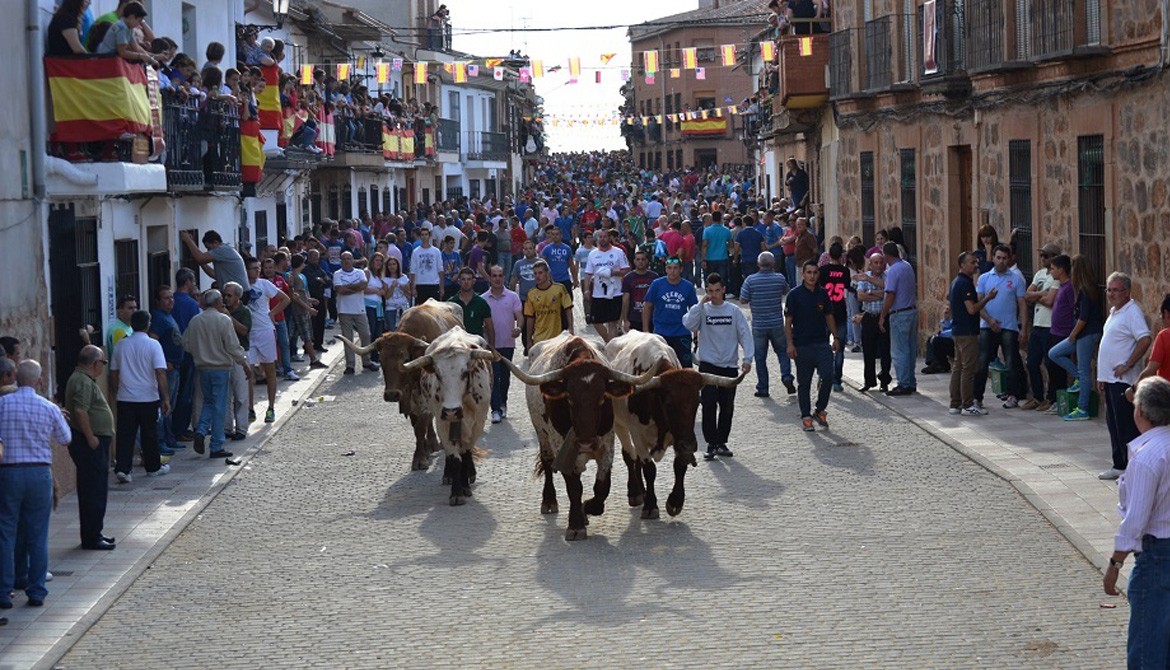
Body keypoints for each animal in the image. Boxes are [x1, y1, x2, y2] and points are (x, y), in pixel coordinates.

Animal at [402, 327, 493, 505]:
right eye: (438, 374)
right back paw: (449, 476)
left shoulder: (478, 423)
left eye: (465, 372)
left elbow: (465, 453)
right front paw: (457, 493)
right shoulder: (442, 422)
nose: (452, 411)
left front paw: (465, 486)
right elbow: (455, 457)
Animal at [496, 332, 655, 540]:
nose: (586, 443)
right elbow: (574, 487)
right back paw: (549, 501)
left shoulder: (606, 446)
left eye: (602, 398)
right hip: (541, 433)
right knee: (547, 463)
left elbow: (602, 487)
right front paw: (576, 524)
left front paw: (587, 507)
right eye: (569, 398)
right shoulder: (560, 446)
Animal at [608, 329, 744, 516]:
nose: (690, 445)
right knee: (630, 455)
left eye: (698, 401)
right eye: (668, 403)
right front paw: (651, 505)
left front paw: (675, 502)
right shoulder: (637, 433)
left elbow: (680, 465)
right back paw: (636, 493)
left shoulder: (679, 436)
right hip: (619, 425)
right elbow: (649, 468)